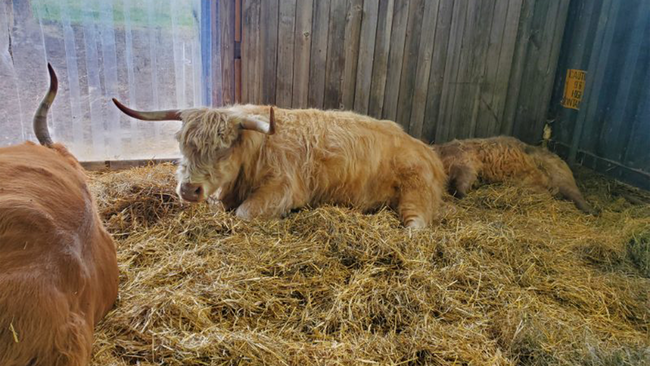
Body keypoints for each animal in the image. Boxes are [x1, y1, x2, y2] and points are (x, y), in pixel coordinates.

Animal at [111, 99, 446, 229]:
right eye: (182, 143)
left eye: (223, 149)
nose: (189, 190)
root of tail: (425, 149)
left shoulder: (282, 189)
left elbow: (244, 213)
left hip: (415, 193)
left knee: (417, 224)